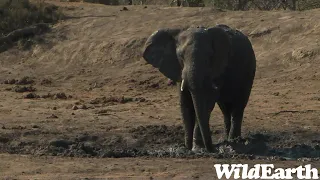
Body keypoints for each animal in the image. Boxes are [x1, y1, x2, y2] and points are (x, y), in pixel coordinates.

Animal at [141, 23, 256, 152]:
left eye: (210, 56)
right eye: (180, 56)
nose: (213, 149)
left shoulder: (218, 68)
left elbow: (207, 101)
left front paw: (197, 149)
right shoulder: (178, 69)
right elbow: (185, 104)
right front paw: (186, 148)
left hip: (249, 71)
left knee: (238, 106)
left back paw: (235, 141)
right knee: (225, 109)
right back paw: (228, 140)